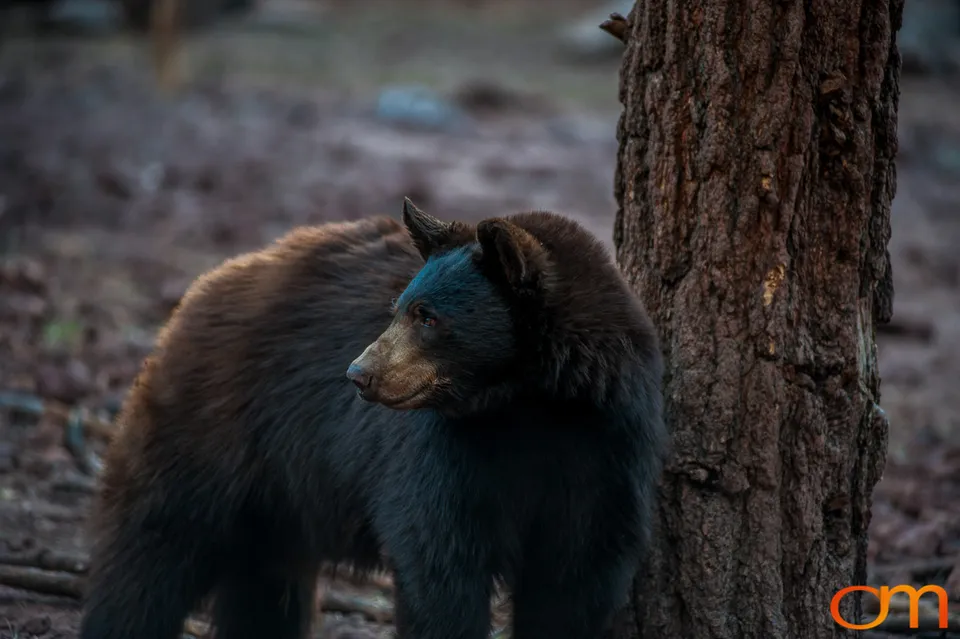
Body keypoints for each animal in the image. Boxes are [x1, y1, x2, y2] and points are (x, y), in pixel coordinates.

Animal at [78, 198, 667, 639]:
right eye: (399, 308)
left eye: (427, 316)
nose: (358, 373)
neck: (527, 407)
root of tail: (203, 288)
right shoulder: (446, 456)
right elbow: (439, 560)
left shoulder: (606, 452)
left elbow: (576, 578)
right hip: (213, 428)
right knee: (155, 545)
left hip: (279, 495)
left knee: (263, 583)